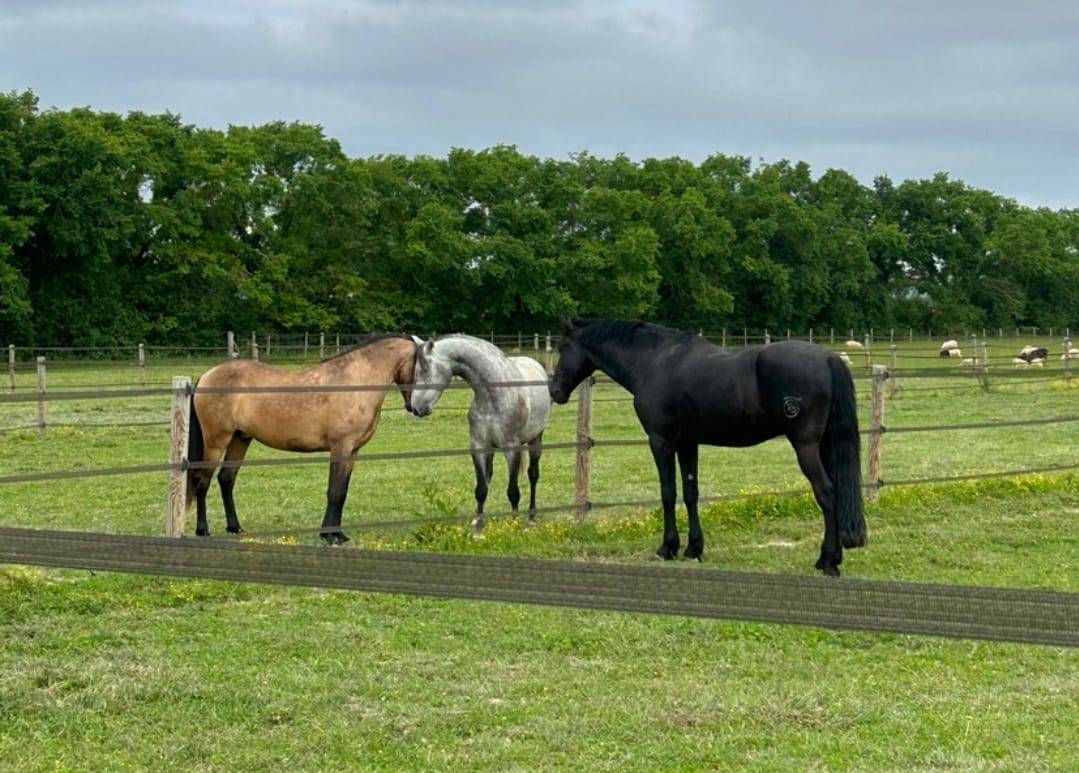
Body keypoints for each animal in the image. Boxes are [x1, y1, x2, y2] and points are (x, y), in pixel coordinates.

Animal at [185, 334, 418, 544]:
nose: (416, 407)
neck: (355, 381)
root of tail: (206, 375)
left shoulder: (353, 451)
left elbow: (342, 491)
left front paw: (338, 534)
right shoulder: (340, 447)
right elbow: (335, 491)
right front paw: (329, 536)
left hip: (240, 439)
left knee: (226, 479)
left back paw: (235, 528)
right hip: (216, 441)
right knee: (202, 480)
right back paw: (203, 531)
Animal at [410, 334, 551, 532]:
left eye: (424, 370)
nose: (415, 408)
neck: (494, 392)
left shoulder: (512, 449)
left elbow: (513, 491)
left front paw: (514, 524)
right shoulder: (479, 447)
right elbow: (481, 489)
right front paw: (477, 526)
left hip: (536, 439)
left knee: (533, 475)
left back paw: (531, 517)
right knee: (489, 477)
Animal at [548, 318, 867, 576]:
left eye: (563, 347)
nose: (554, 391)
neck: (654, 362)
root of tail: (827, 357)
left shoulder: (661, 441)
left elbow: (668, 493)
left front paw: (667, 548)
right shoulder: (688, 443)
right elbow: (691, 493)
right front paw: (693, 549)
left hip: (805, 446)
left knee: (826, 492)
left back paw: (827, 561)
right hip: (823, 445)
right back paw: (830, 558)